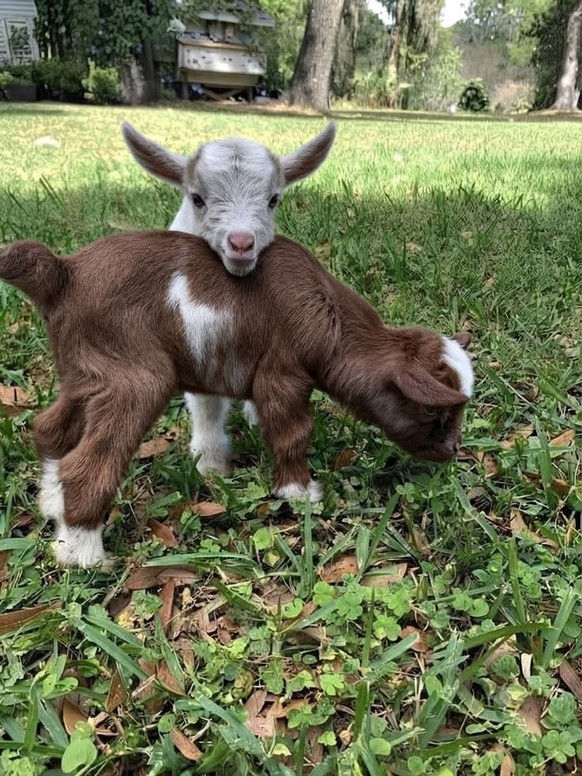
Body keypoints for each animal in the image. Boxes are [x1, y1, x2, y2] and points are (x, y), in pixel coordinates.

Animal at [0, 233, 474, 568]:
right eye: (432, 409)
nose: (452, 450)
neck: (334, 322)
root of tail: (64, 272)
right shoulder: (282, 375)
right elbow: (292, 431)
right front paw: (299, 493)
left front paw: (216, 468)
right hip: (134, 378)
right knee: (87, 464)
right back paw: (81, 553)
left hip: (84, 374)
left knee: (50, 429)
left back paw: (53, 506)